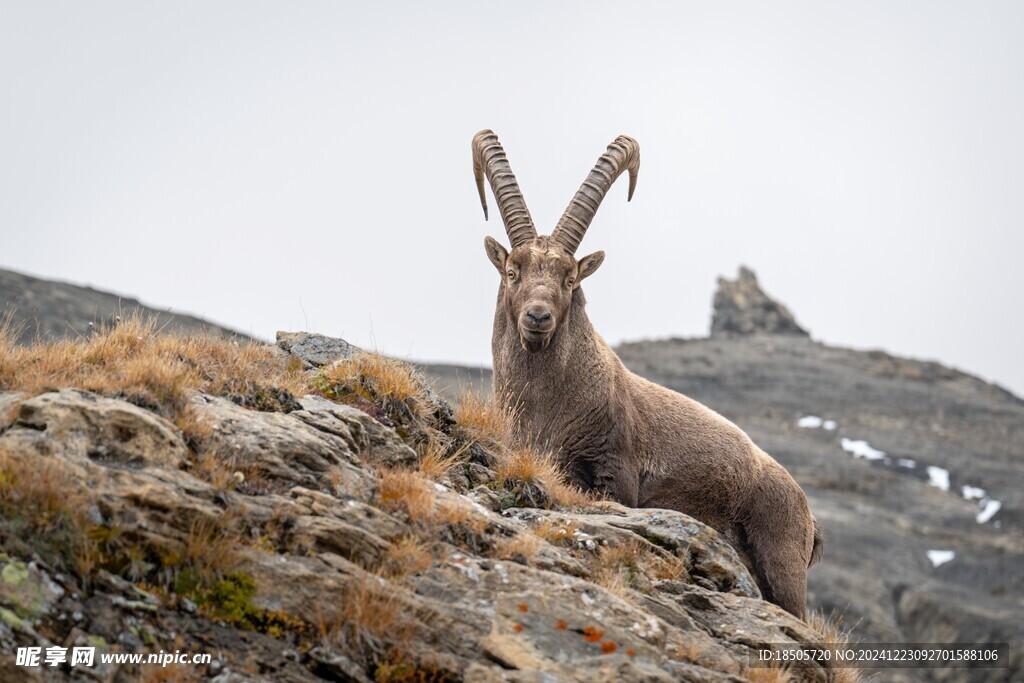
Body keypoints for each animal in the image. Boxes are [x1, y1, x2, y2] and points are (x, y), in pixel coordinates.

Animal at [471, 127, 823, 618]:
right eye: (512, 270)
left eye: (569, 278)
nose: (538, 317)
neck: (549, 406)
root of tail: (809, 515)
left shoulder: (616, 472)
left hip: (783, 568)